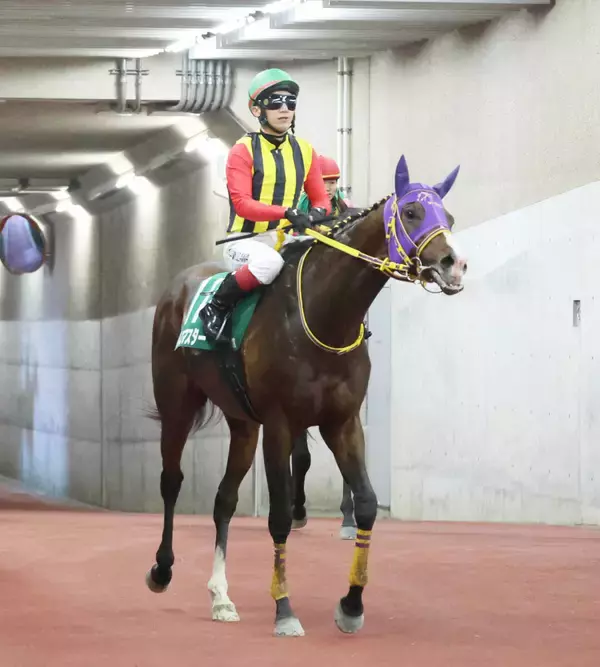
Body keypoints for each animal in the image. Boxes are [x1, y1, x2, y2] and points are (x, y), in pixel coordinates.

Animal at [145, 154, 467, 638]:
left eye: (448, 217)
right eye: (411, 212)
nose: (454, 264)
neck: (323, 314)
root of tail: (178, 287)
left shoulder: (343, 422)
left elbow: (367, 505)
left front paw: (351, 605)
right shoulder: (281, 424)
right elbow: (279, 516)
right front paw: (284, 609)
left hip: (243, 424)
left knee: (224, 500)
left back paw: (221, 597)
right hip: (177, 404)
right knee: (171, 481)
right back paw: (162, 570)